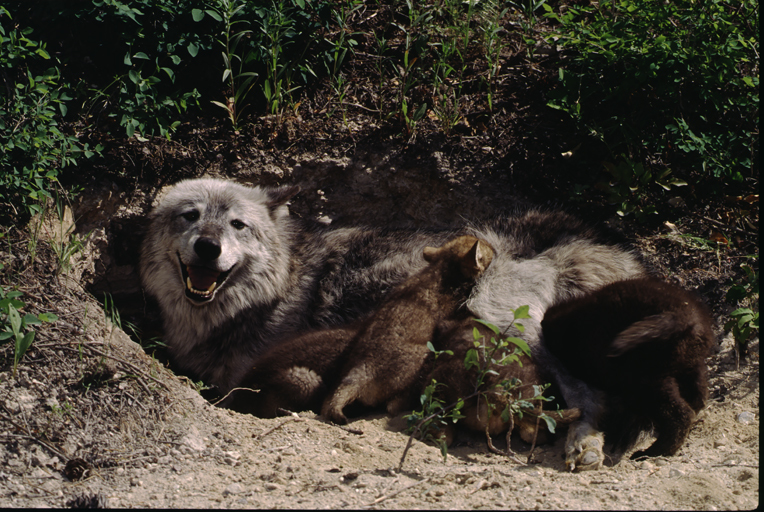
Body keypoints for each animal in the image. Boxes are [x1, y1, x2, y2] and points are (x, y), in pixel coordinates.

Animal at [142, 178, 644, 470]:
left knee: (590, 393)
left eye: (237, 225)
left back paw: (583, 443)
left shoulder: (242, 377)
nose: (207, 246)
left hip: (507, 327)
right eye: (190, 216)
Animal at [540, 278, 712, 466]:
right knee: (698, 398)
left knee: (680, 415)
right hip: (690, 366)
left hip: (646, 378)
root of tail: (681, 316)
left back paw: (651, 452)